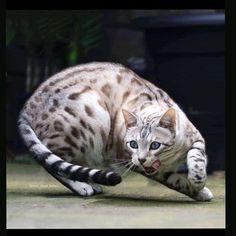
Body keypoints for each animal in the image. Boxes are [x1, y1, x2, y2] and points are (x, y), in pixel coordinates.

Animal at [18, 61, 213, 201]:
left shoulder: (196, 138)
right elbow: (176, 181)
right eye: (133, 144)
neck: (169, 158)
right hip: (88, 121)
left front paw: (197, 180)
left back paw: (92, 184)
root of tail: (25, 109)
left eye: (155, 145)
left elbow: (197, 158)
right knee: (52, 163)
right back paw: (83, 187)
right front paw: (198, 189)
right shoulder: (132, 160)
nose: (142, 159)